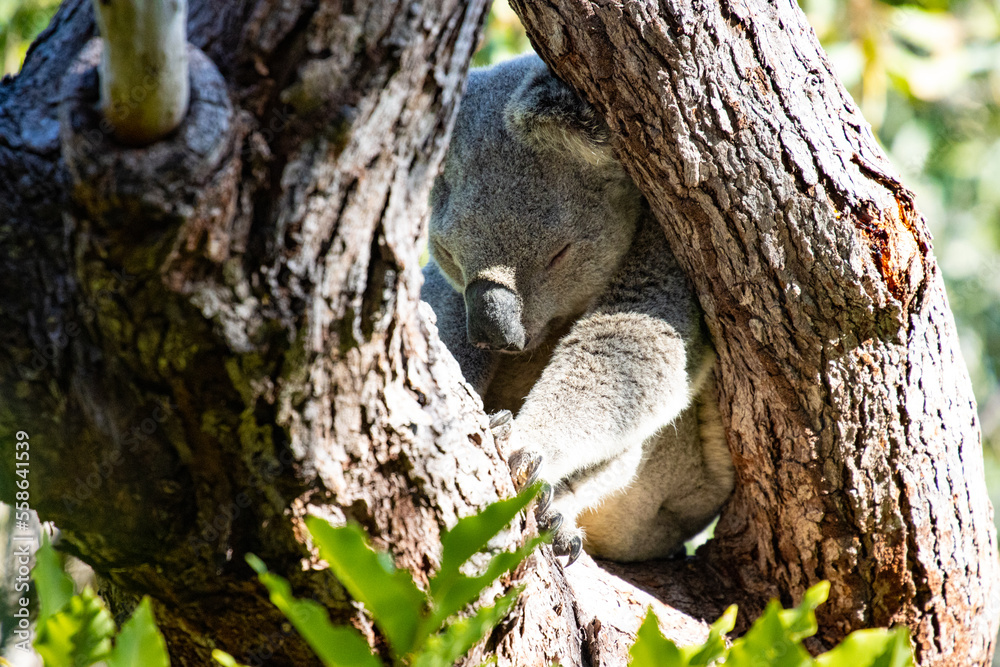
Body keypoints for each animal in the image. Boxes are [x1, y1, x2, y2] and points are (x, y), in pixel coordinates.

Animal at [421, 54, 734, 563]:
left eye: (559, 254)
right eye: (448, 254)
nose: (497, 335)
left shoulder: (668, 249)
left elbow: (629, 348)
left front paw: (521, 445)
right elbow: (444, 329)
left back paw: (555, 516)